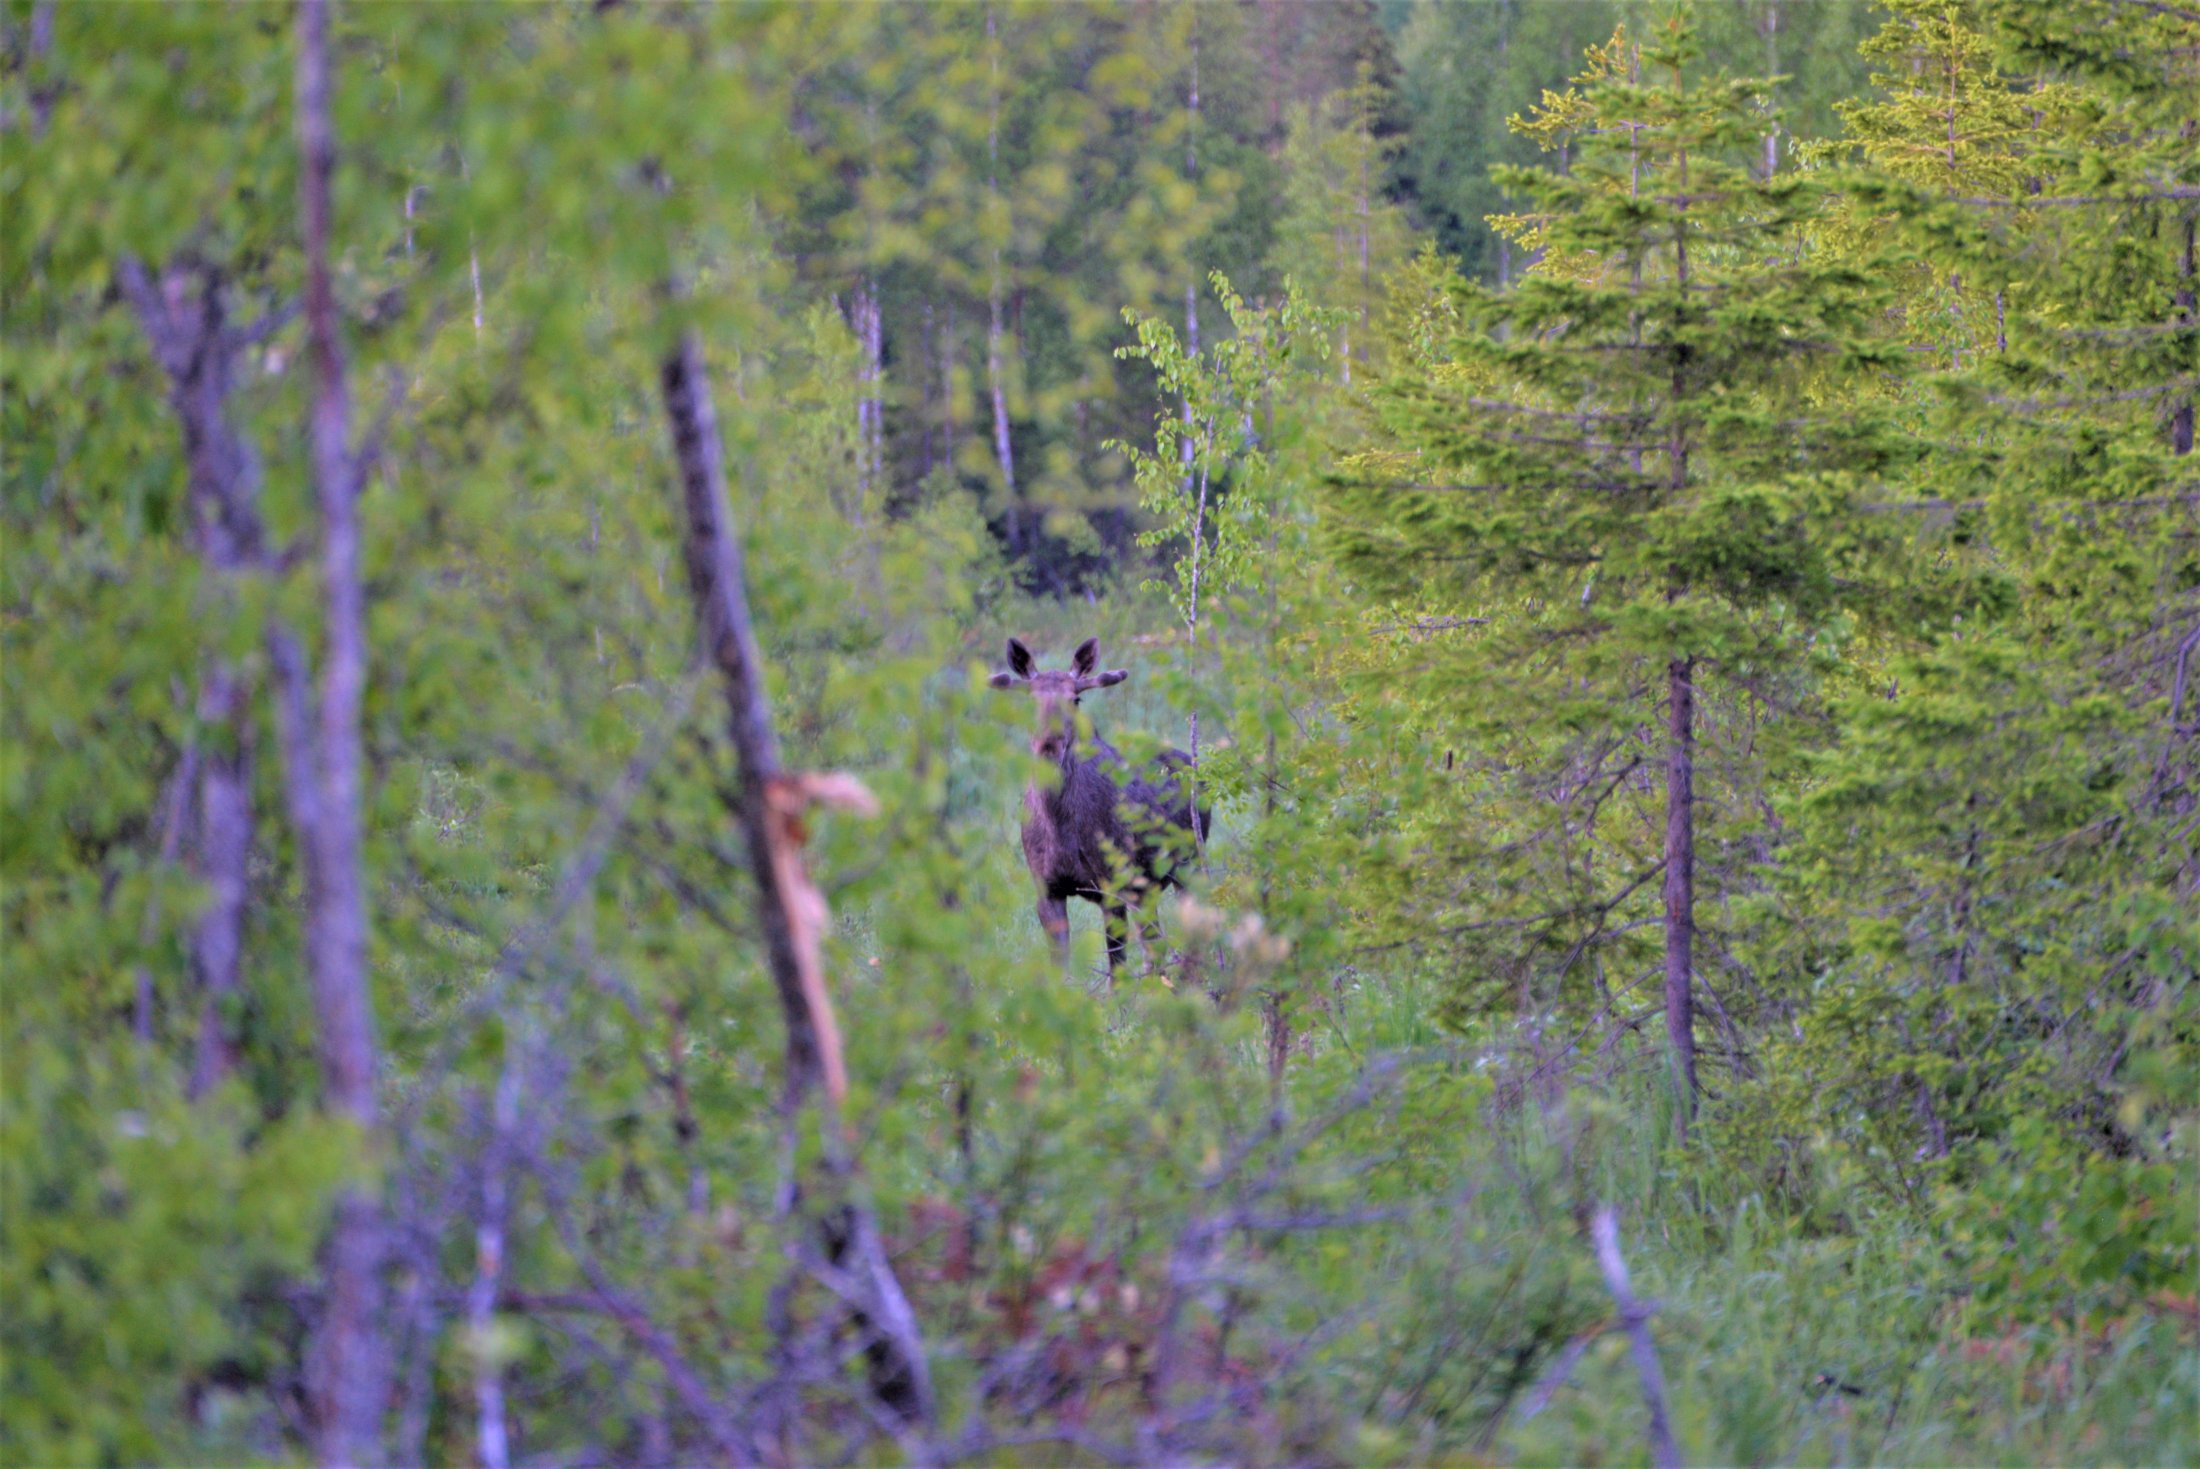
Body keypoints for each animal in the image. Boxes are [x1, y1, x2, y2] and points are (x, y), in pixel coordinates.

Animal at [989, 636, 1209, 980]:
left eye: (1075, 699)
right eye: (1029, 700)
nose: (1049, 745)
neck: (1060, 829)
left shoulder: (1113, 883)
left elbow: (1117, 973)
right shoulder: (1046, 889)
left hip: (1189, 863)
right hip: (1146, 887)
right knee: (1155, 947)